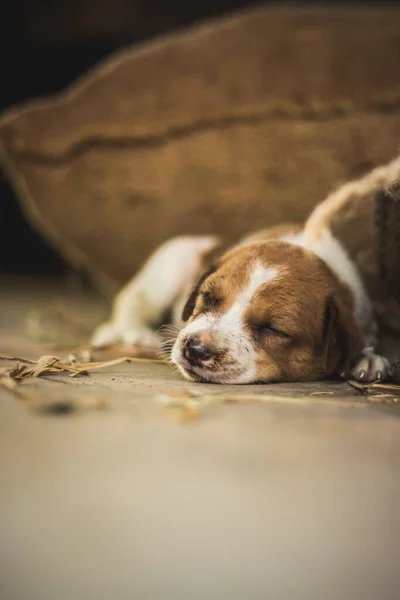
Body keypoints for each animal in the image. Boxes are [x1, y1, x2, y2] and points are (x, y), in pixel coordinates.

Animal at [91, 189, 390, 384]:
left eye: (273, 329)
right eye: (208, 298)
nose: (195, 349)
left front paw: (366, 358)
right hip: (169, 265)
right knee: (132, 301)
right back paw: (138, 334)